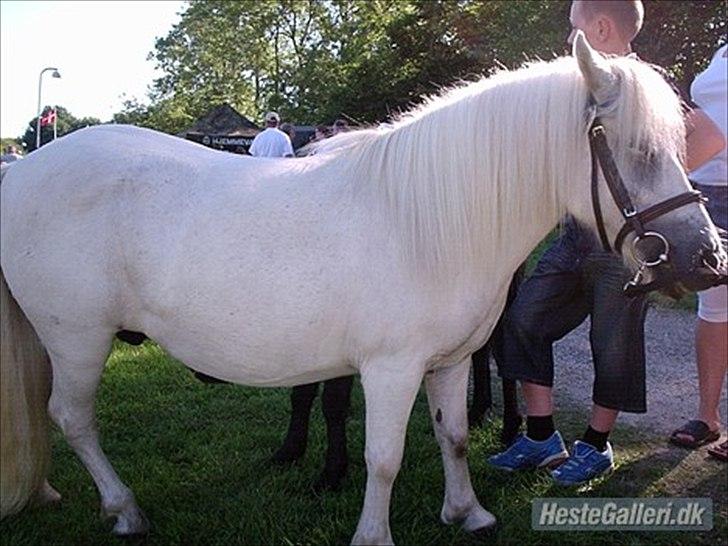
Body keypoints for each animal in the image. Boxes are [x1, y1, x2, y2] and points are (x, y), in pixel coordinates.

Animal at [2, 35, 724, 544]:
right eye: (637, 150)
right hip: (78, 338)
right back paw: (124, 509)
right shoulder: (389, 369)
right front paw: (373, 535)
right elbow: (383, 457)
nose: (708, 259)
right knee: (73, 418)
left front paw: (468, 513)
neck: (424, 221)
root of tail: (24, 173)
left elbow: (453, 437)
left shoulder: (450, 362)